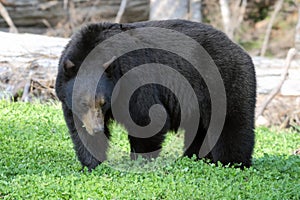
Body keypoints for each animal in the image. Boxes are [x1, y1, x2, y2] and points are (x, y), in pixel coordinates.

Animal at [55, 19, 255, 171]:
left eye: (102, 102)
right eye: (83, 103)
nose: (97, 128)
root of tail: (240, 50)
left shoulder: (133, 79)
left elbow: (148, 119)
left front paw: (140, 160)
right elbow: (80, 130)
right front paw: (91, 164)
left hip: (222, 81)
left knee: (231, 124)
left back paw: (232, 162)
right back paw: (195, 157)